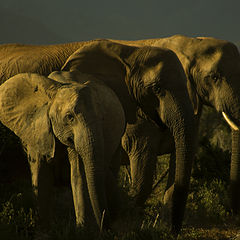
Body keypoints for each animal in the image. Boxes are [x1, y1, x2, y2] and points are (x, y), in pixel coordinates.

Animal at [0, 71, 125, 231]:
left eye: (103, 118)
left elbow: (79, 175)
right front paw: (44, 230)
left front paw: (81, 230)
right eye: (70, 117)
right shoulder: (37, 129)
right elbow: (41, 175)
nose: (105, 227)